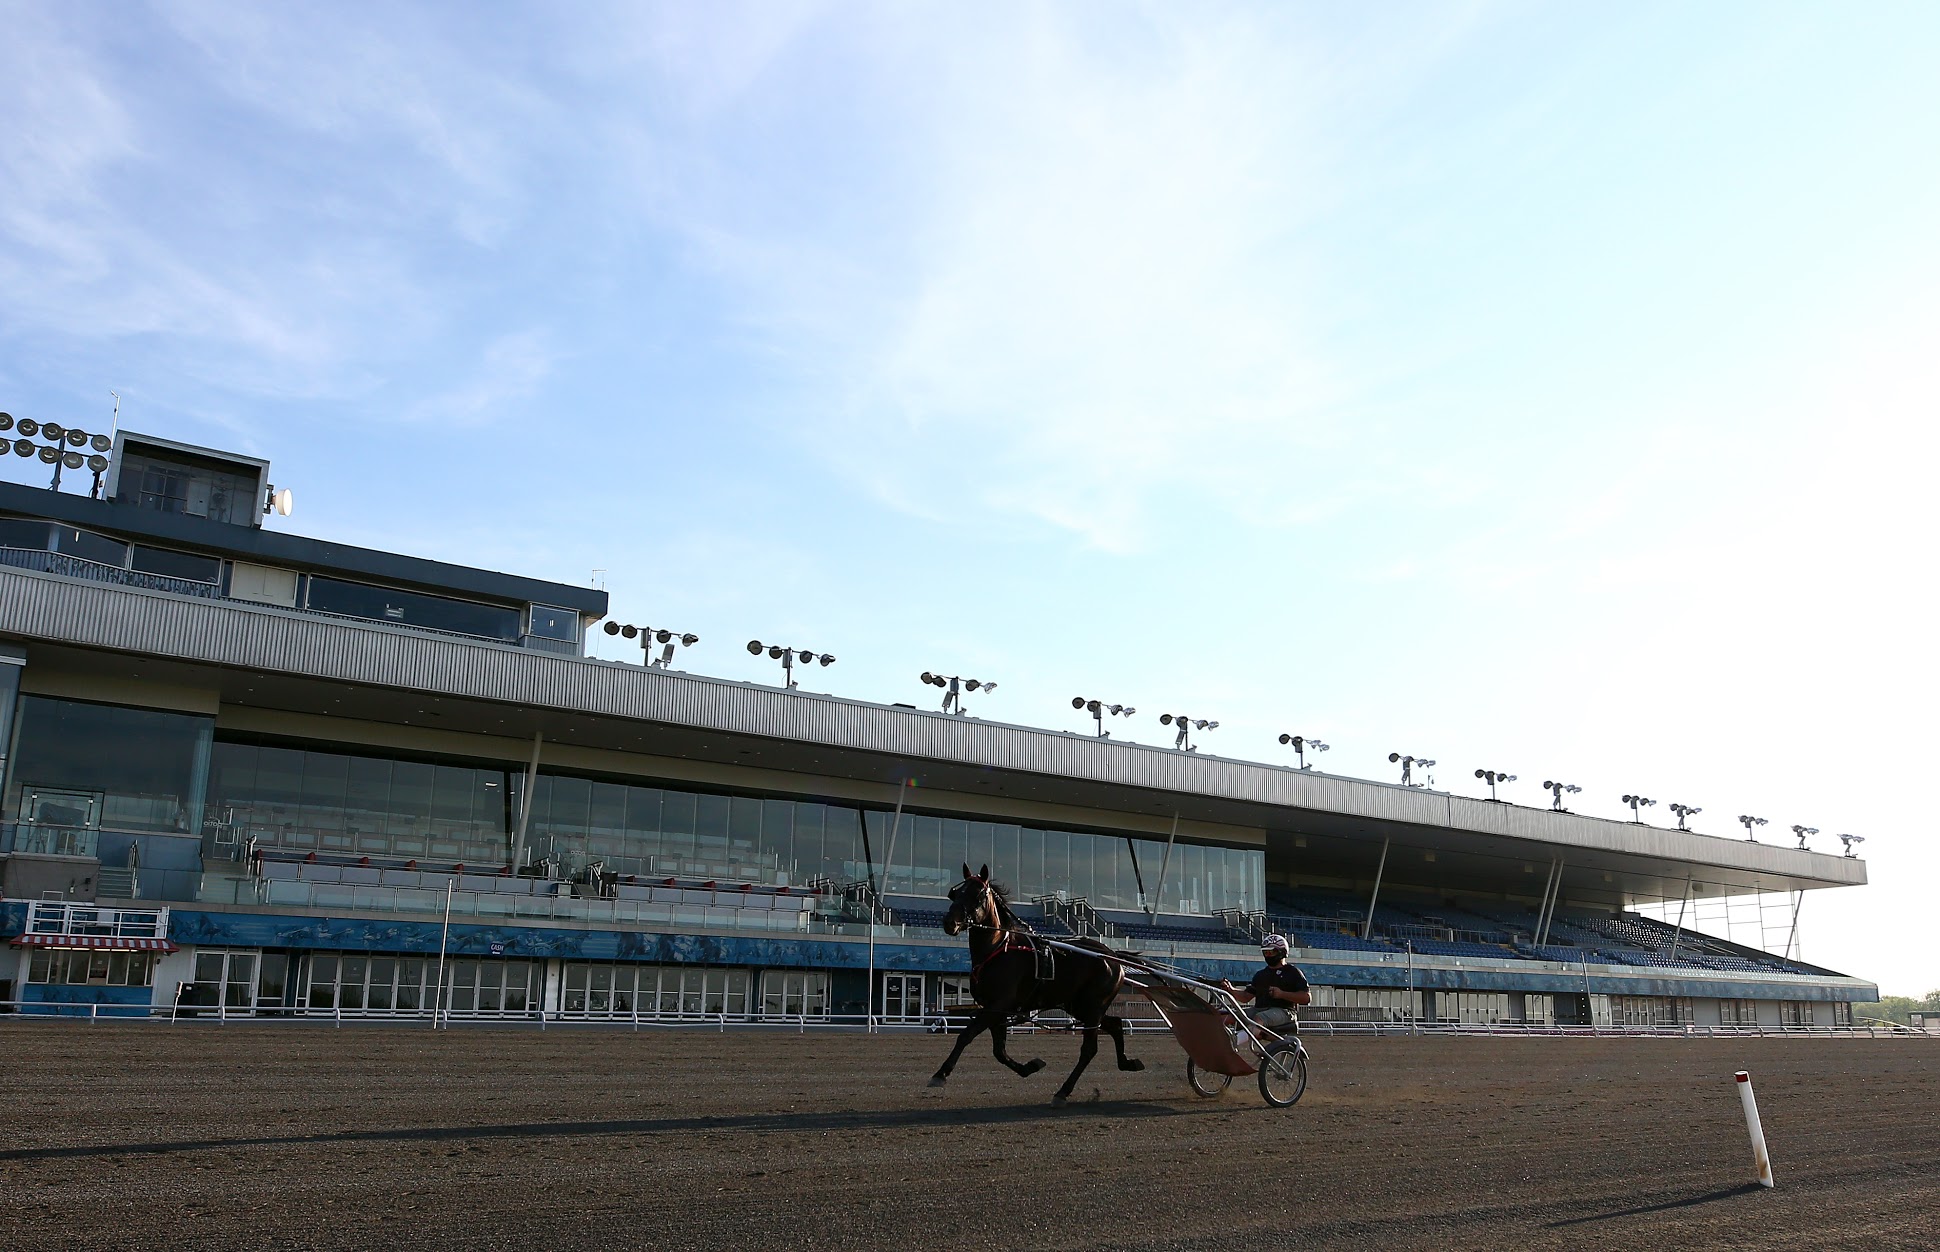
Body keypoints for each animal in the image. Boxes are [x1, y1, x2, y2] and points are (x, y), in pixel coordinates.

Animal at [923, 857, 1132, 1102]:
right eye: (955, 893)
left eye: (978, 895)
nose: (950, 922)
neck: (998, 949)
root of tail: (1112, 956)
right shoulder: (996, 1010)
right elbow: (999, 1051)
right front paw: (1030, 1066)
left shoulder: (998, 1005)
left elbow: (966, 1035)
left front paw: (941, 1073)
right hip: (1079, 1006)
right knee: (1115, 1024)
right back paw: (1127, 1062)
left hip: (1093, 1006)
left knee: (1089, 1049)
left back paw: (1063, 1090)